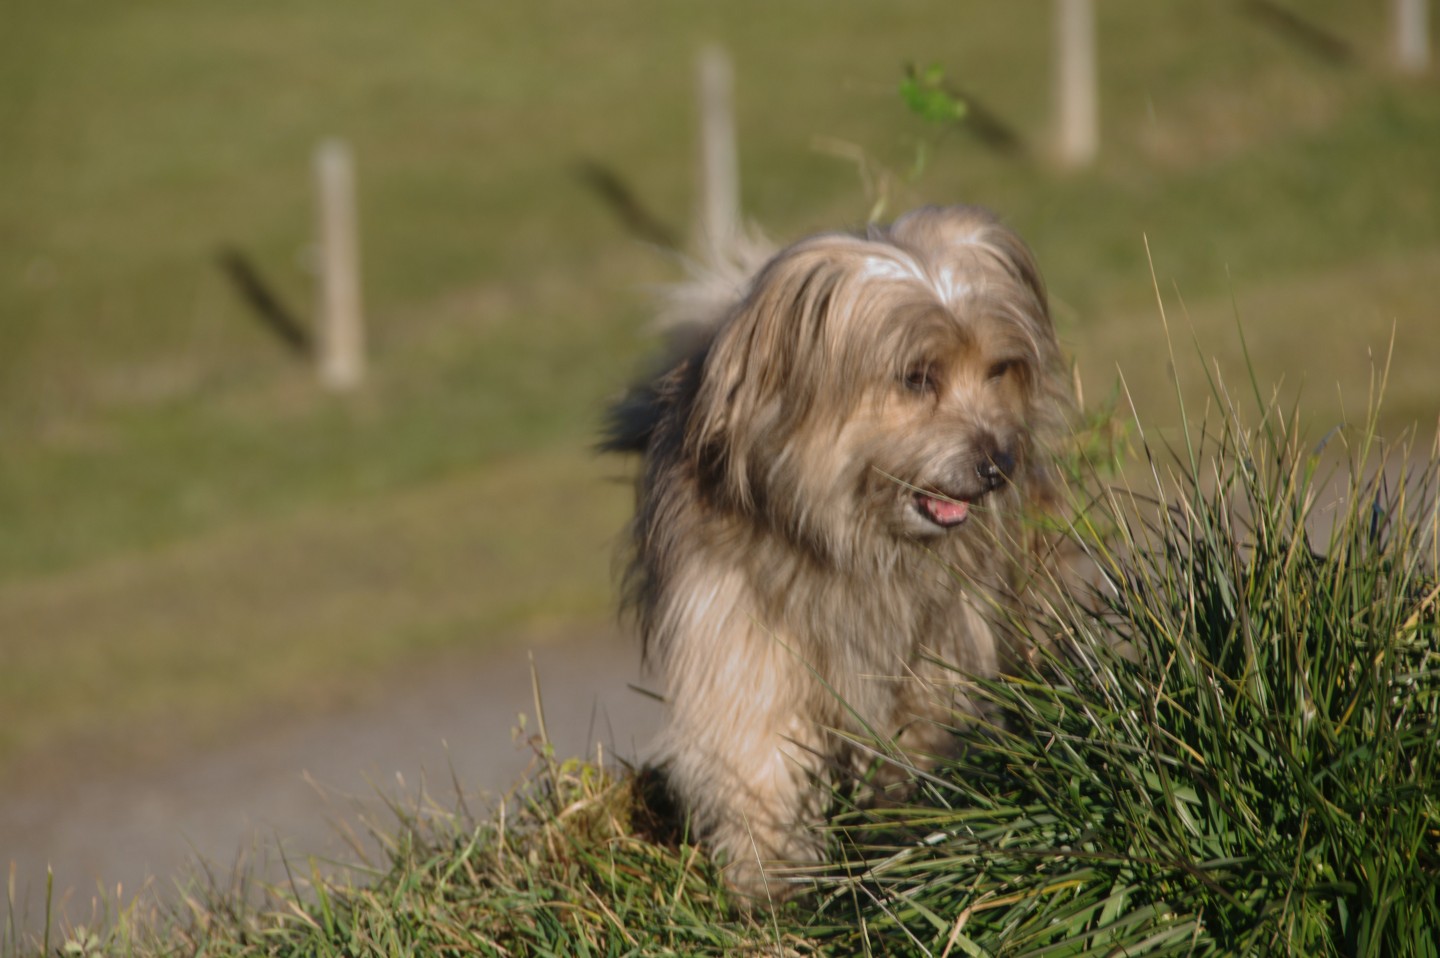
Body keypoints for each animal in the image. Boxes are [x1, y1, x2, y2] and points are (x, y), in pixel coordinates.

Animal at [604, 206, 1071, 898]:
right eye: (916, 377)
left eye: (998, 370)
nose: (998, 465)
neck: (853, 543)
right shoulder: (739, 636)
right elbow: (758, 755)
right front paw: (773, 879)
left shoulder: (942, 636)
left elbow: (926, 731)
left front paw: (917, 827)